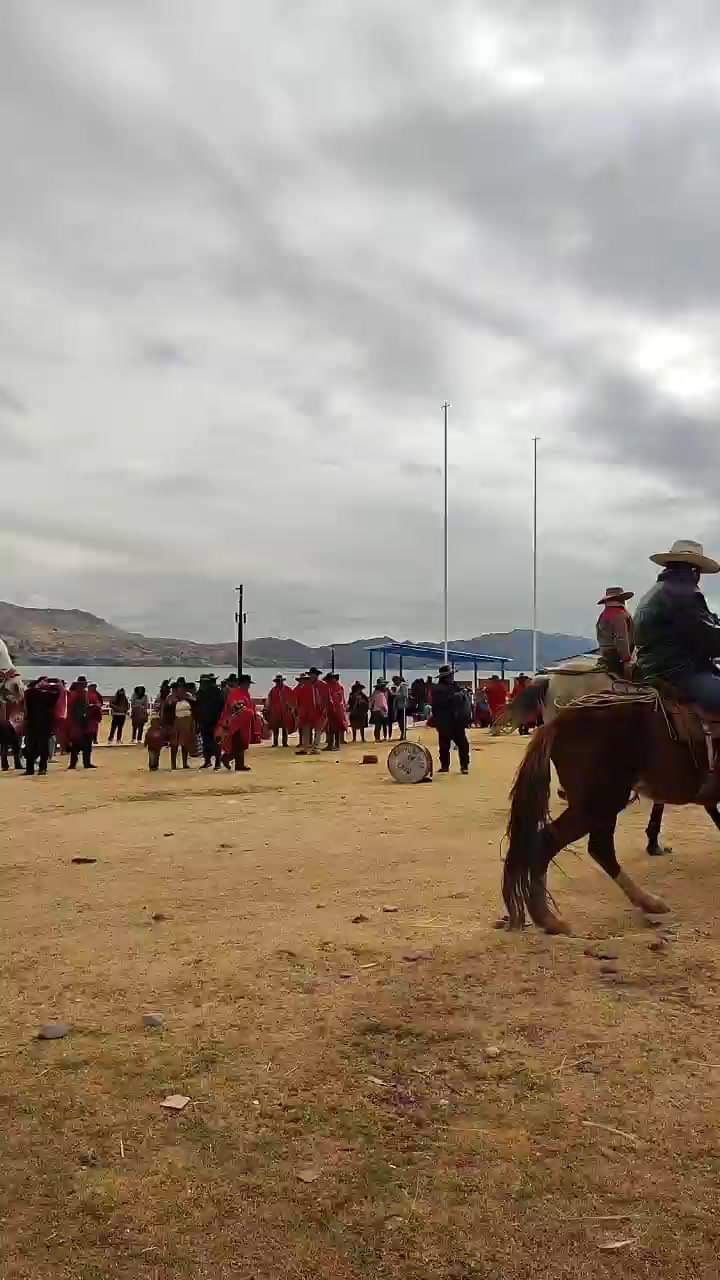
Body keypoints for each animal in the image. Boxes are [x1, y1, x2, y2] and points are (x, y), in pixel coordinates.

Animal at [499, 686, 720, 936]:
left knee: (597, 848)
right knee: (557, 842)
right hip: (599, 803)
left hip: (602, 804)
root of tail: (557, 723)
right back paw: (548, 919)